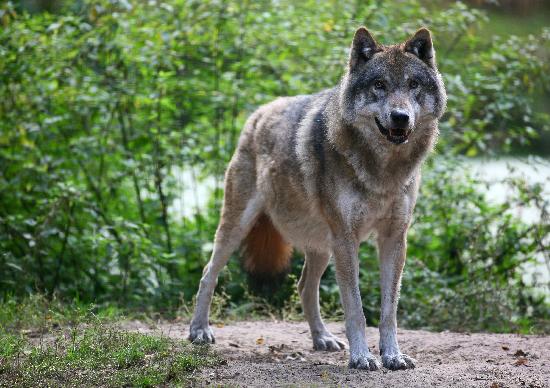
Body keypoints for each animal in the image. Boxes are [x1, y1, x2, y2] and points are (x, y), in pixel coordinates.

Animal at [190, 27, 448, 370]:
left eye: (413, 85)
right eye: (379, 85)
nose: (400, 117)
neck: (383, 171)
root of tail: (259, 112)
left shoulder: (394, 238)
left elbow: (388, 311)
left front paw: (392, 356)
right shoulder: (347, 239)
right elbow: (356, 308)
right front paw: (362, 357)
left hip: (323, 247)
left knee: (303, 286)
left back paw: (322, 338)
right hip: (240, 228)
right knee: (209, 273)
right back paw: (199, 330)